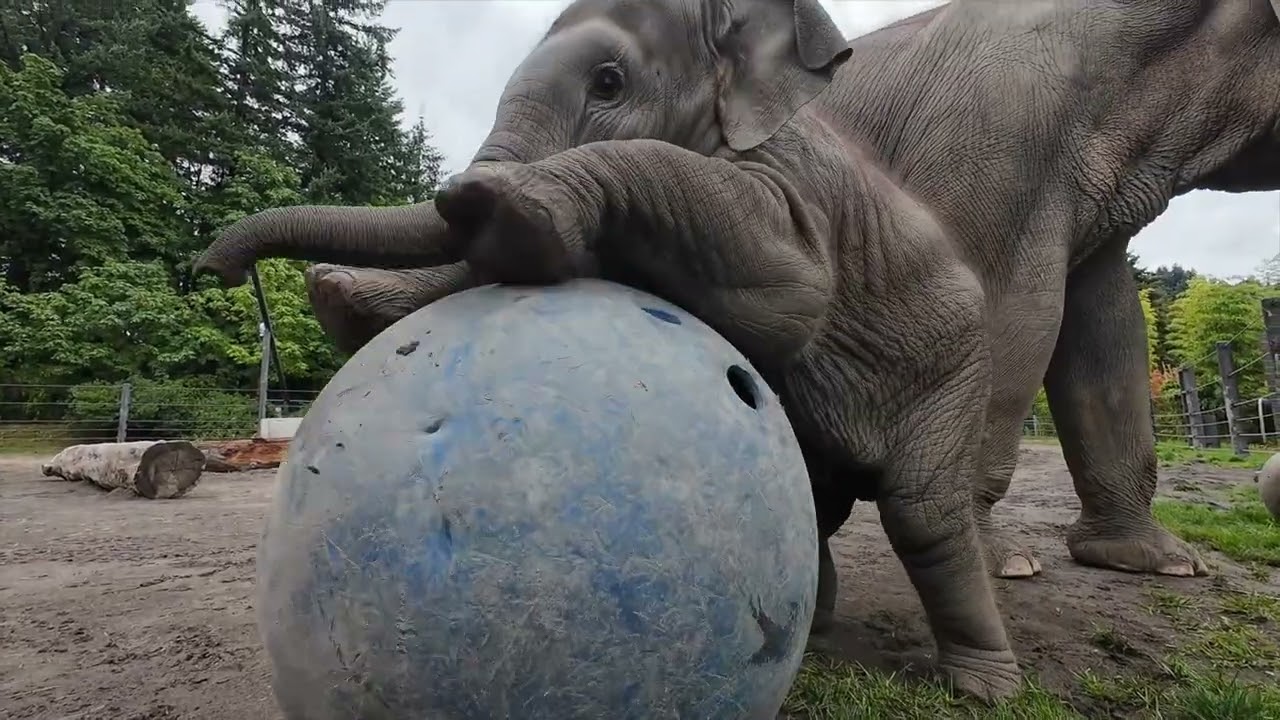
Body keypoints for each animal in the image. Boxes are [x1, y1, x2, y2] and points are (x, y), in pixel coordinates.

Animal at [193, 0, 1280, 701]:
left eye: (609, 81)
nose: (212, 263)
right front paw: (353, 297)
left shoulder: (800, 183)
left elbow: (788, 291)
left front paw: (516, 214)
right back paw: (823, 632)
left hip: (949, 373)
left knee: (924, 510)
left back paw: (984, 687)